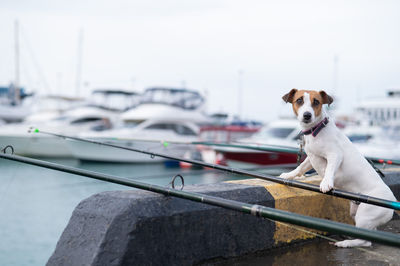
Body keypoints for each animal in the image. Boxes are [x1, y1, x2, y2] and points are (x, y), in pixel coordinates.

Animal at [278, 89, 396, 247]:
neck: (316, 130)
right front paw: (288, 175)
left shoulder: (335, 154)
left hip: (365, 214)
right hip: (357, 212)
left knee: (365, 241)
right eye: (299, 100)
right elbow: (301, 167)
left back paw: (346, 243)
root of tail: (391, 201)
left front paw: (326, 183)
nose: (307, 115)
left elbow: (329, 169)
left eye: (316, 102)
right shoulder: (312, 157)